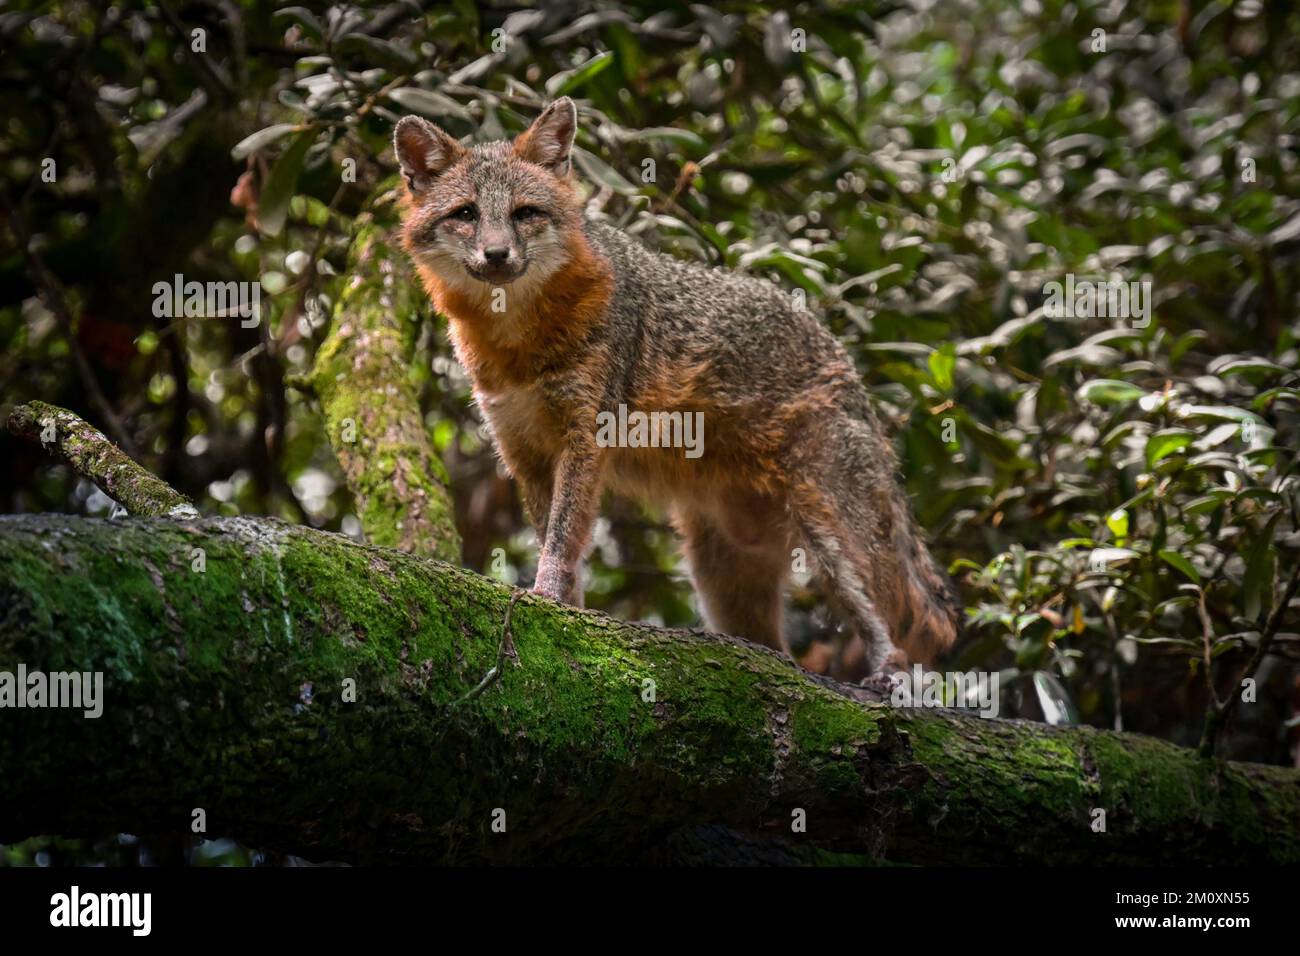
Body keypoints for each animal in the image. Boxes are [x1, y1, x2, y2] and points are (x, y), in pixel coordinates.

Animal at [393, 97, 959, 678]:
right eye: (466, 215)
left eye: (525, 213)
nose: (498, 255)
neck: (518, 346)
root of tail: (845, 362)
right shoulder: (523, 452)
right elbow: (555, 537)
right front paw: (568, 613)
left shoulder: (585, 438)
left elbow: (561, 539)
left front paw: (547, 598)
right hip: (723, 578)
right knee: (775, 645)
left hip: (826, 532)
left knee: (881, 623)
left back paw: (886, 673)